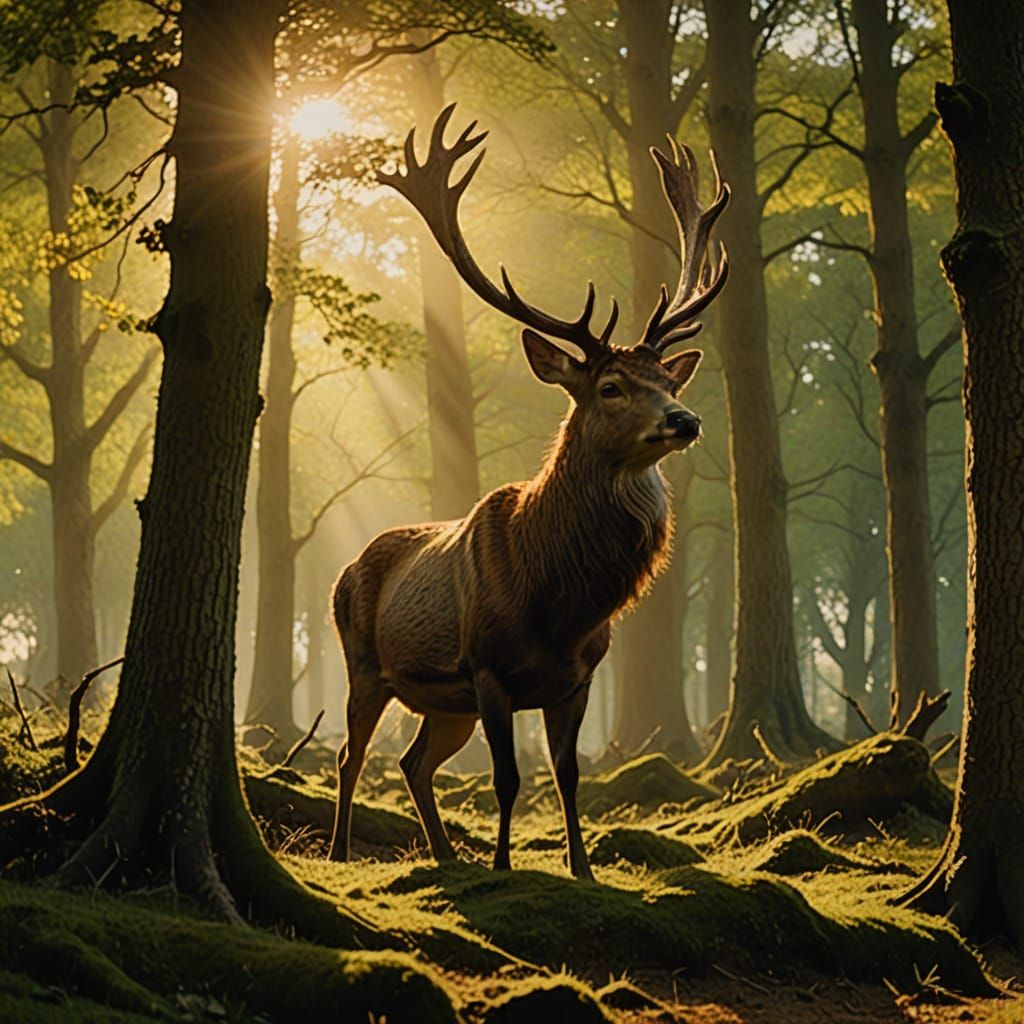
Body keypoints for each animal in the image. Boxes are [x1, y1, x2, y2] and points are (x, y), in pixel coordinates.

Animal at [327, 104, 729, 881]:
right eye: (610, 387)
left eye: (666, 379)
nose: (685, 419)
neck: (559, 602)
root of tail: (347, 566)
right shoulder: (487, 666)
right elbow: (509, 778)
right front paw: (504, 867)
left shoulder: (579, 676)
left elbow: (569, 776)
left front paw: (581, 868)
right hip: (365, 663)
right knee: (350, 756)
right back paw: (337, 851)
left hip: (442, 701)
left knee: (416, 763)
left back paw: (445, 856)